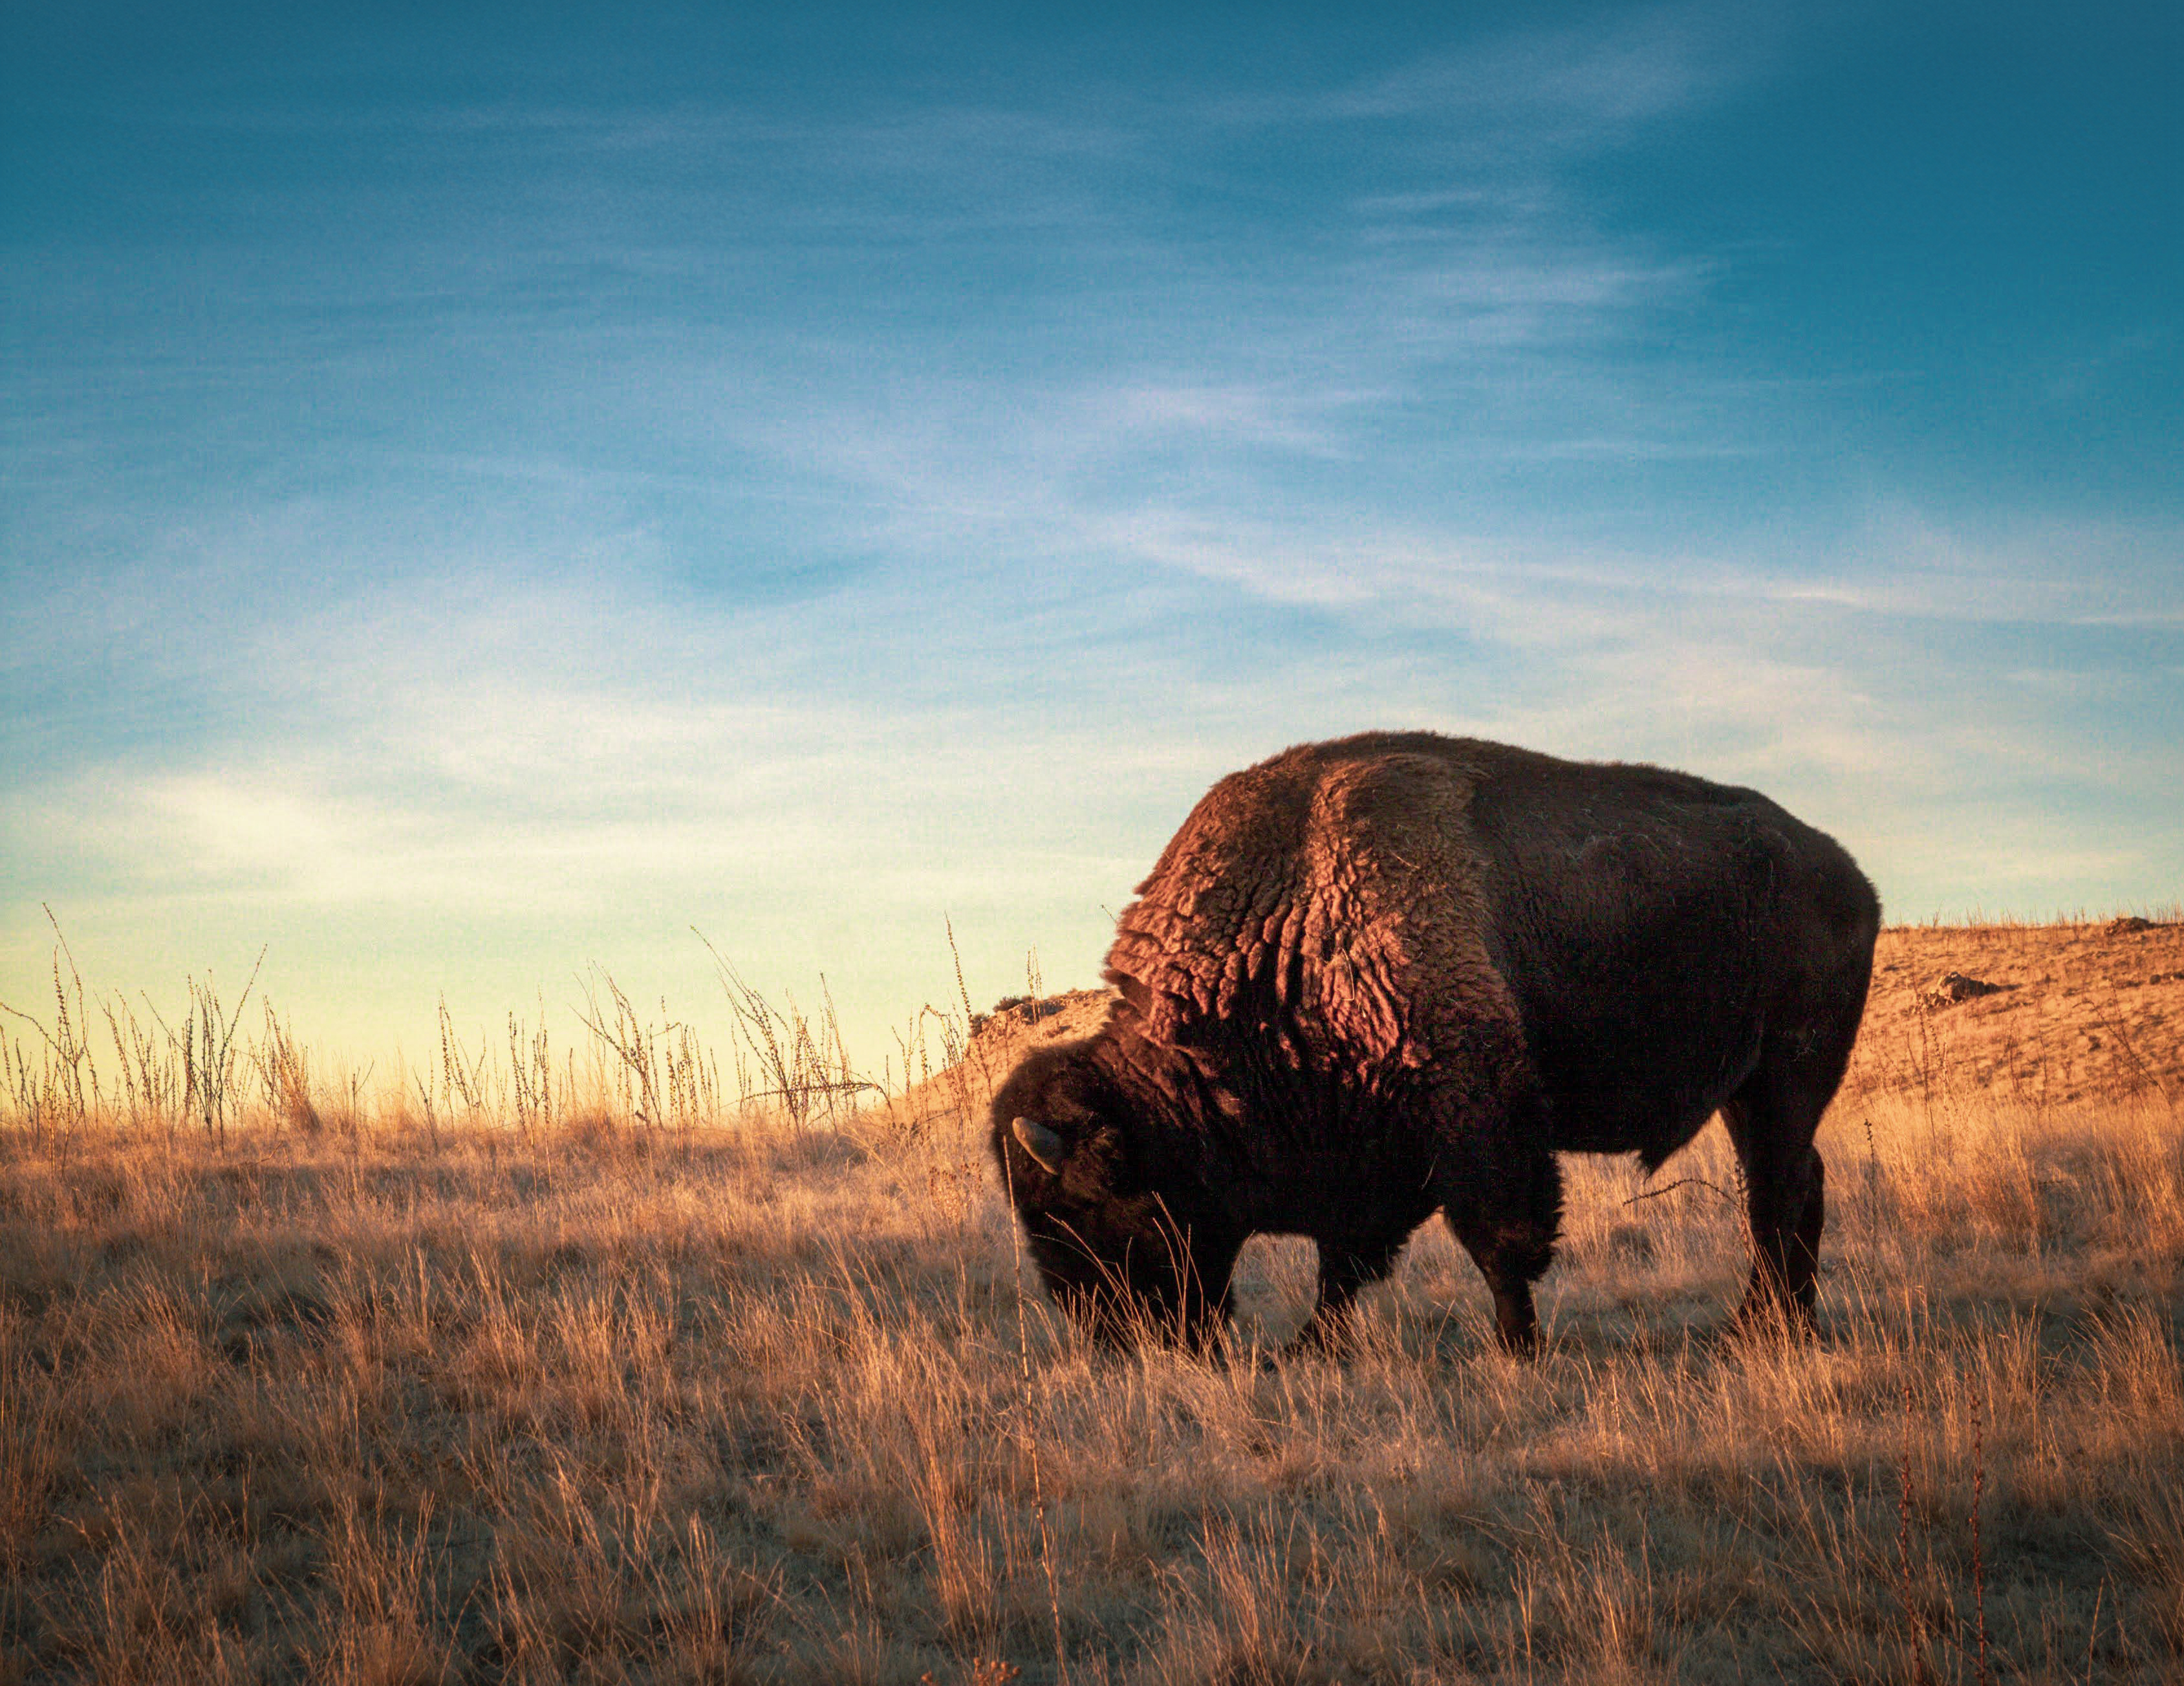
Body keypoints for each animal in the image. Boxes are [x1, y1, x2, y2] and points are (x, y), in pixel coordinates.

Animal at [991, 729, 1878, 1354]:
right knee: (1797, 1188)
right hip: (1747, 1093)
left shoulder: (1478, 1123)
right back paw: (1774, 1325)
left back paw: (1761, 1330)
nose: (1119, 1339)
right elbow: (1344, 1264)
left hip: (1787, 1077)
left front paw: (1514, 1348)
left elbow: (1498, 1241)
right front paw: (1306, 1348)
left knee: (1777, 1197)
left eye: (1086, 1209)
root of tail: (1849, 876)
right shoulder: (1368, 1159)